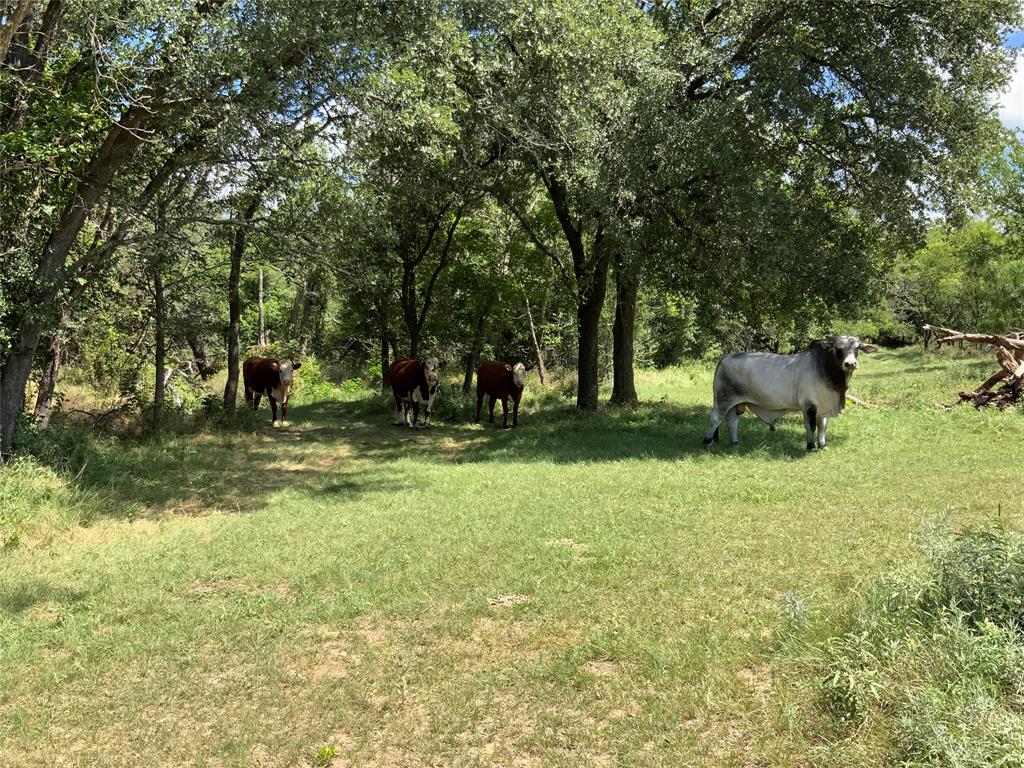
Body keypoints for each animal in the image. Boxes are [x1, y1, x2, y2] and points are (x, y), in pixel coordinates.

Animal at [704, 335, 880, 450]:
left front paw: (822, 445)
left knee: (732, 421)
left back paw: (735, 442)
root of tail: (724, 358)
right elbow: (811, 427)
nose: (850, 364)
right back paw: (707, 442)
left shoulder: (823, 408)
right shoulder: (809, 405)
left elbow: (822, 427)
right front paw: (811, 446)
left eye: (857, 348)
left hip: (737, 404)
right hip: (722, 400)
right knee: (715, 419)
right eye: (838, 348)